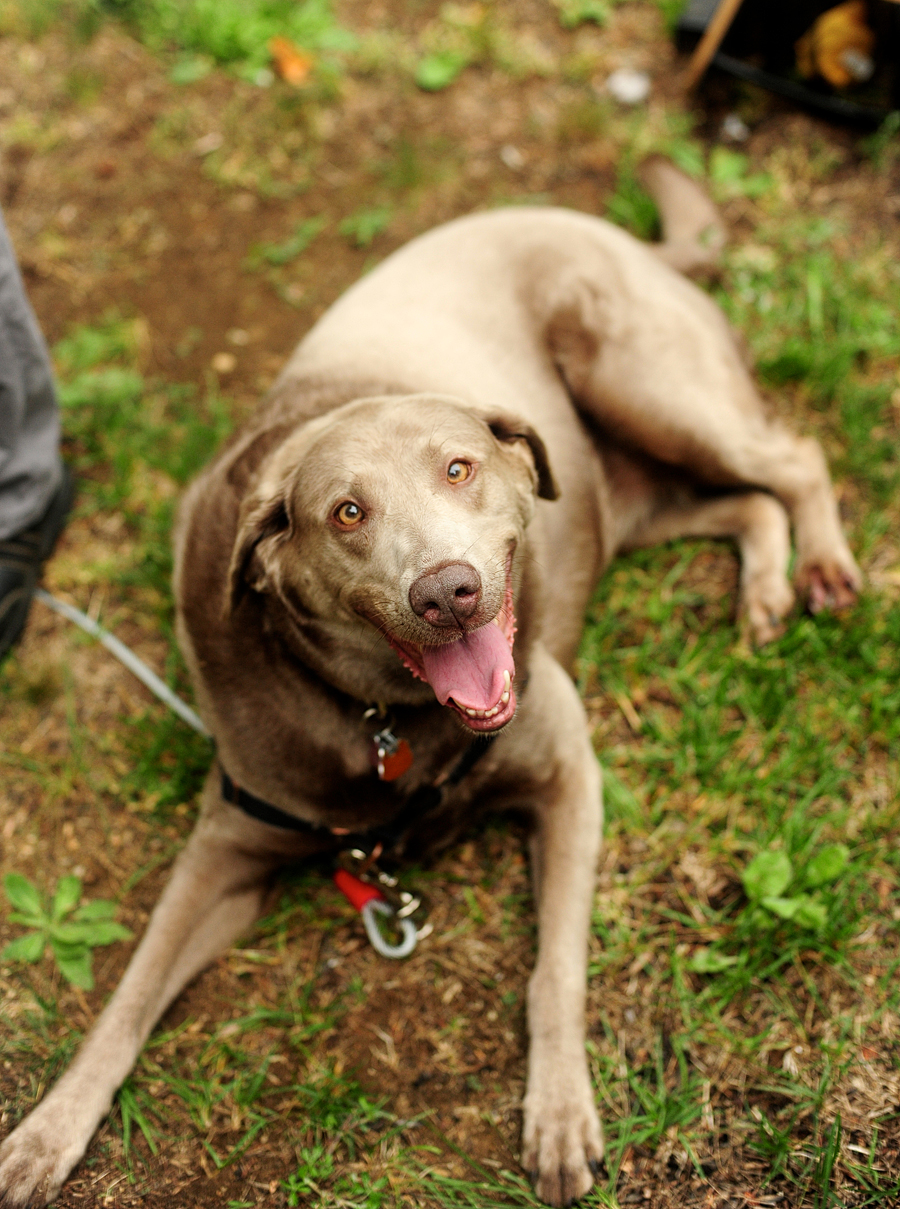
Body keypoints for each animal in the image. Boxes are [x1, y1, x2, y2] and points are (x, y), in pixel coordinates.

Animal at [0, 165, 856, 1209]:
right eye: (346, 513)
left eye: (459, 467)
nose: (447, 591)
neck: (389, 717)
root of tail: (617, 234)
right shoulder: (227, 844)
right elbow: (126, 996)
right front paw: (47, 1133)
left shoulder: (569, 770)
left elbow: (555, 970)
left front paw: (560, 1116)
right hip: (633, 497)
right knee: (746, 504)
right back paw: (768, 589)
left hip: (650, 389)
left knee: (795, 459)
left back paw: (824, 569)